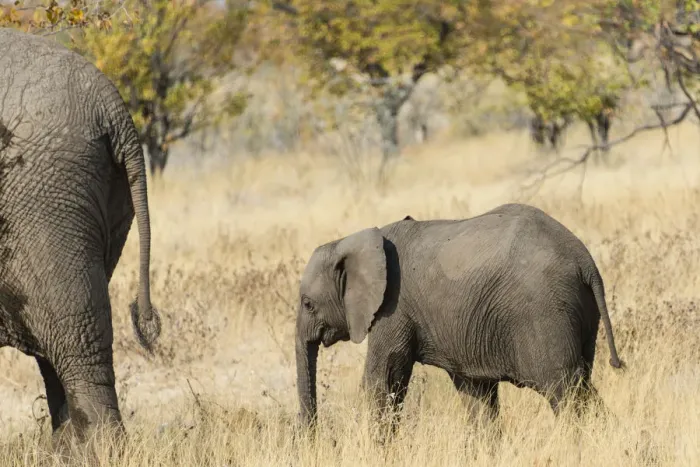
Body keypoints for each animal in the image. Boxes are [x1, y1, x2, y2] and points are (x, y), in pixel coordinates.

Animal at [295, 203, 624, 430]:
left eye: (308, 304)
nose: (315, 436)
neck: (352, 240)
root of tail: (585, 261)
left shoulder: (393, 308)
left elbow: (382, 381)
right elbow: (476, 396)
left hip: (545, 311)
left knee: (566, 391)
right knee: (580, 384)